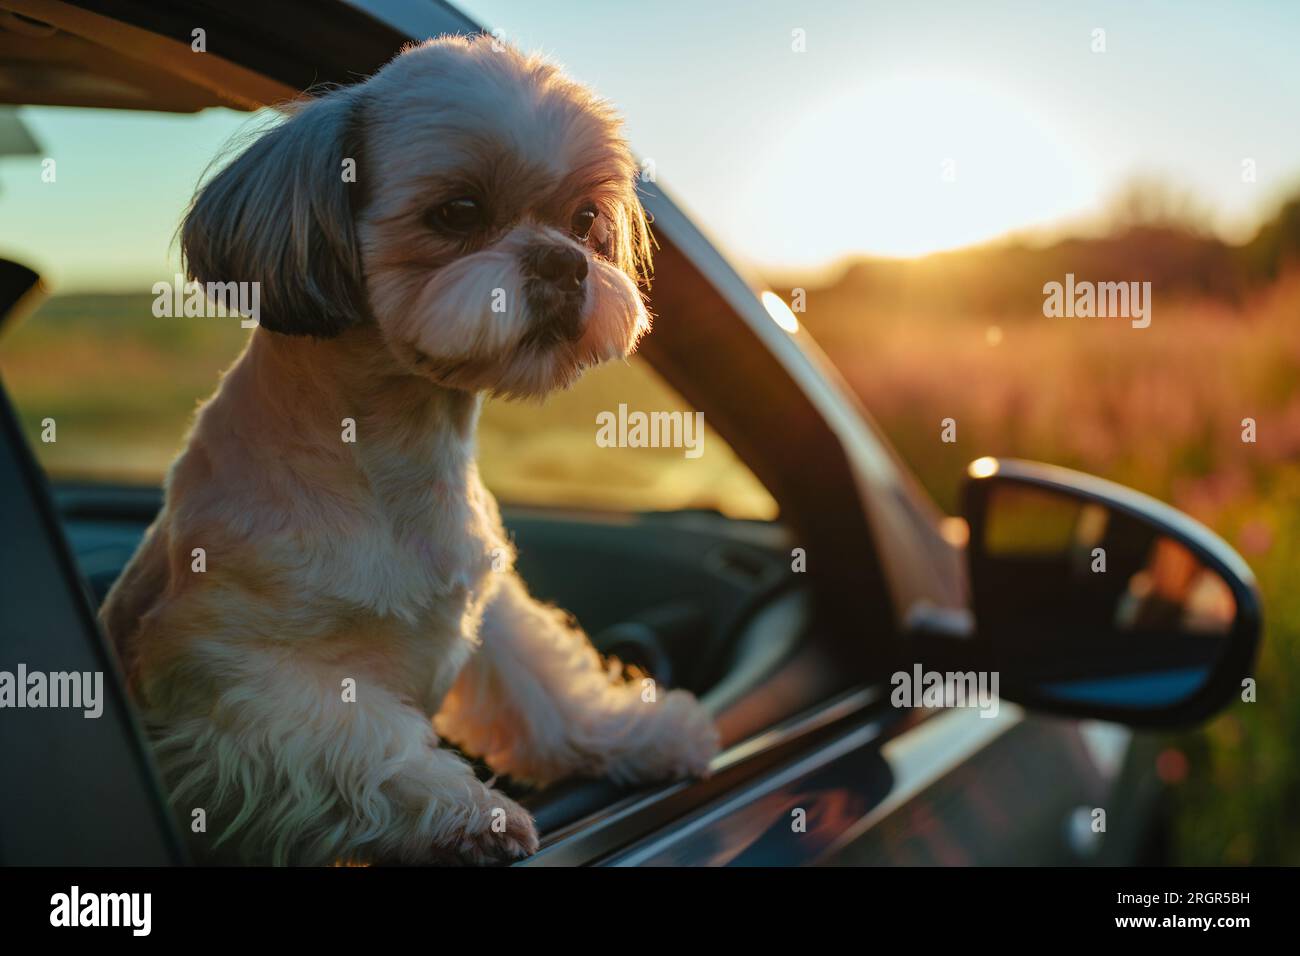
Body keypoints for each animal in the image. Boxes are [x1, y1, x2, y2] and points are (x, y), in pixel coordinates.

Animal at [101, 35, 722, 868]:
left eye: (584, 218)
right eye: (458, 211)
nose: (565, 261)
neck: (397, 450)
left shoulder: (490, 615)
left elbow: (549, 690)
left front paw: (638, 732)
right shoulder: (227, 684)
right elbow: (363, 743)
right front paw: (469, 814)